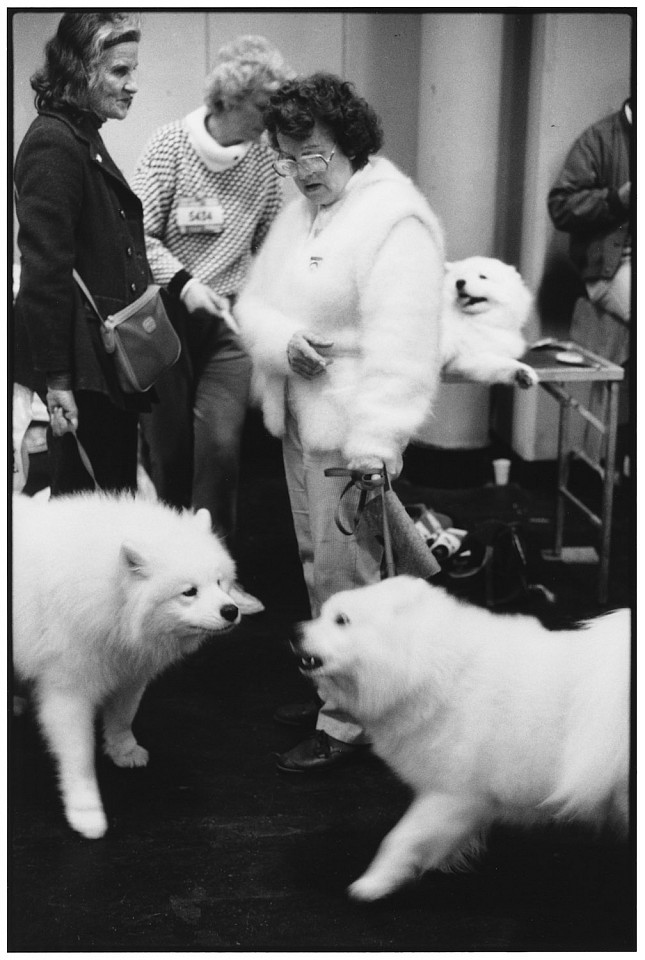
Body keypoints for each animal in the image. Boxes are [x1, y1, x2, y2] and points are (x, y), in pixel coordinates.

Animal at [11, 496, 243, 840]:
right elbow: (79, 756)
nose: (231, 611)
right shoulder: (69, 690)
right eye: (189, 591)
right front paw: (87, 813)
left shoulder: (129, 670)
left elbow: (123, 715)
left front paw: (123, 750)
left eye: (219, 582)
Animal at [296, 576, 628, 900]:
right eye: (322, 613)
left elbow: (400, 837)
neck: (431, 671)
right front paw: (435, 860)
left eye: (341, 620)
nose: (294, 631)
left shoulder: (452, 793)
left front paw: (374, 882)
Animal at [442, 256, 540, 388]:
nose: (459, 282)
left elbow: (500, 364)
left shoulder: (469, 357)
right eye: (459, 276)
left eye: (483, 277)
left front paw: (522, 373)